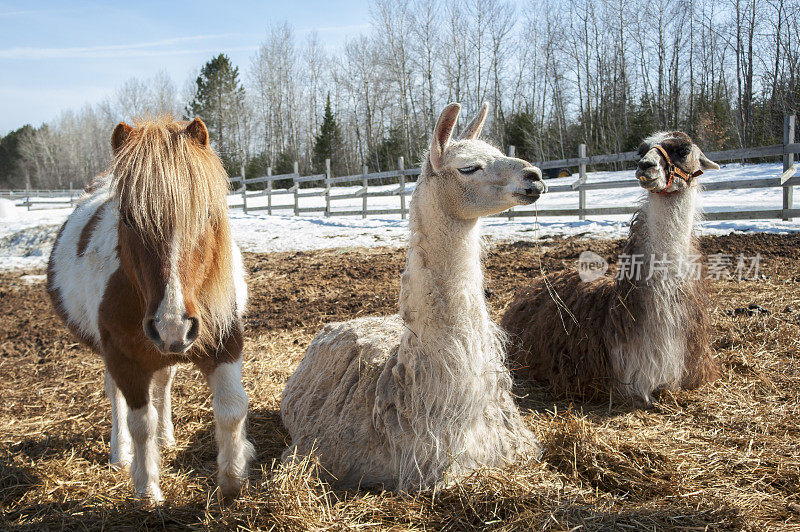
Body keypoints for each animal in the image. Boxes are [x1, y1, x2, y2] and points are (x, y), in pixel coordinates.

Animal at [47, 116, 253, 502]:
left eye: (205, 213)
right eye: (128, 218)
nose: (172, 325)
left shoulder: (225, 342)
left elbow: (231, 408)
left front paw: (233, 480)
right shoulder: (125, 359)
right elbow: (140, 422)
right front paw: (147, 490)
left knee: (163, 386)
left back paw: (167, 437)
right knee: (117, 399)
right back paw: (121, 455)